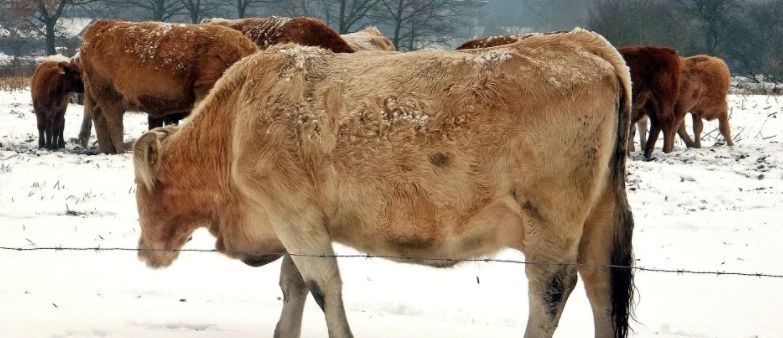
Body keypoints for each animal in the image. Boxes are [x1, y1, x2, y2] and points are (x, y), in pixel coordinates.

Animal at [76, 19, 256, 154]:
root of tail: (101, 25)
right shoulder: (205, 90)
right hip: (109, 96)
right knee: (114, 124)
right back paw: (120, 151)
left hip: (103, 97)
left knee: (99, 116)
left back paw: (106, 151)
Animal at [135, 28, 636, 338]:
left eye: (138, 191)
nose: (143, 252)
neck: (237, 116)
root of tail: (581, 41)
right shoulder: (293, 220)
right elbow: (293, 286)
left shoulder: (293, 213)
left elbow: (323, 287)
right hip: (598, 220)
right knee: (602, 290)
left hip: (550, 221)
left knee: (551, 291)